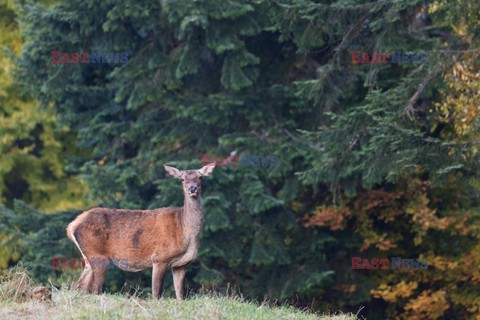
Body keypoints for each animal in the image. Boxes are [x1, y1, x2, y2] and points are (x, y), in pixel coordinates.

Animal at [64, 164, 215, 298]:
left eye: (200, 177)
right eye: (182, 179)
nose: (192, 188)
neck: (185, 231)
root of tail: (72, 225)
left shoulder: (181, 264)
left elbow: (180, 295)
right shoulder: (159, 258)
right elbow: (156, 293)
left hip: (88, 258)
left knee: (79, 287)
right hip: (98, 255)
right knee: (95, 289)